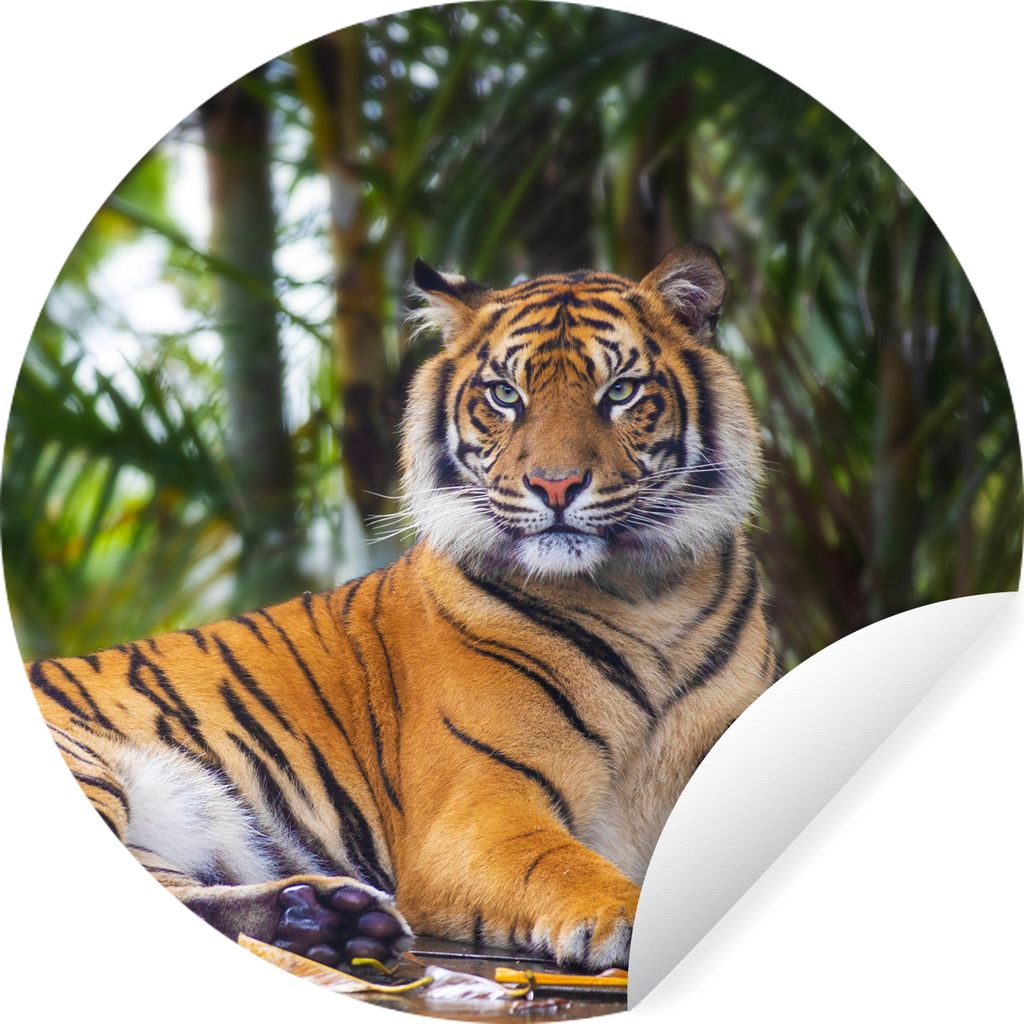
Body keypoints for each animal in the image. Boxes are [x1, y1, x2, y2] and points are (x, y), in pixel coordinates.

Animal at [22, 244, 776, 973]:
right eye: (506, 395)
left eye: (620, 391)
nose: (555, 485)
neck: (643, 596)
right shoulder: (479, 807)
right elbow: (561, 863)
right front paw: (623, 911)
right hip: (88, 760)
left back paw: (322, 921)